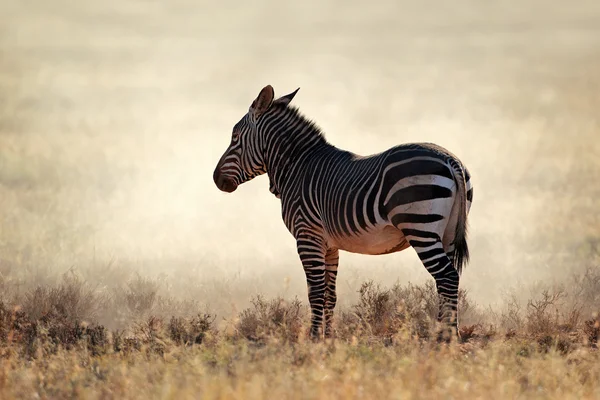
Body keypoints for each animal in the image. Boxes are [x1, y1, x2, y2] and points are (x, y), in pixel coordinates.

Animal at [214, 84, 474, 340]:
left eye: (235, 138)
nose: (216, 179)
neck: (297, 166)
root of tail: (451, 160)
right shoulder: (330, 245)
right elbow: (330, 295)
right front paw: (329, 338)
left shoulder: (307, 236)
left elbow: (315, 292)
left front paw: (314, 338)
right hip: (447, 233)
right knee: (446, 280)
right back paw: (442, 333)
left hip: (420, 226)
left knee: (447, 277)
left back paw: (446, 338)